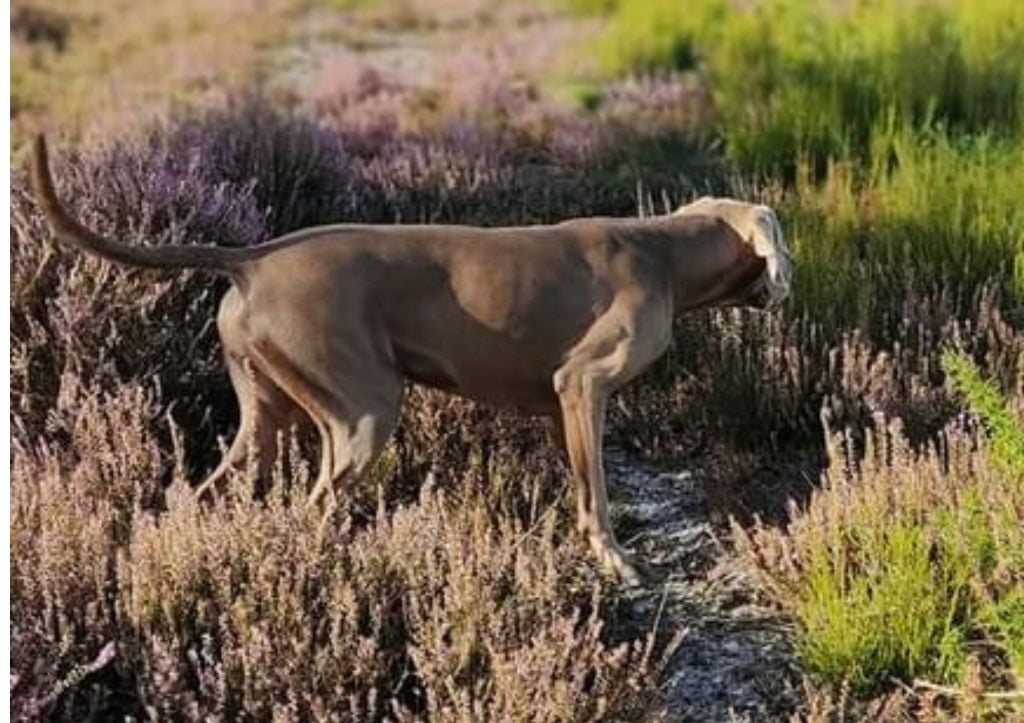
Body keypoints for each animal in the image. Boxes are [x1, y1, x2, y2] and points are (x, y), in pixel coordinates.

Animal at [25, 134, 790, 581]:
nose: (784, 286)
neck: (663, 250)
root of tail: (251, 259)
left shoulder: (563, 405)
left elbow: (580, 480)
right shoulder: (583, 383)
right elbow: (597, 491)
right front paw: (614, 559)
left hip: (267, 413)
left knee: (207, 492)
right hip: (363, 410)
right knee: (316, 505)